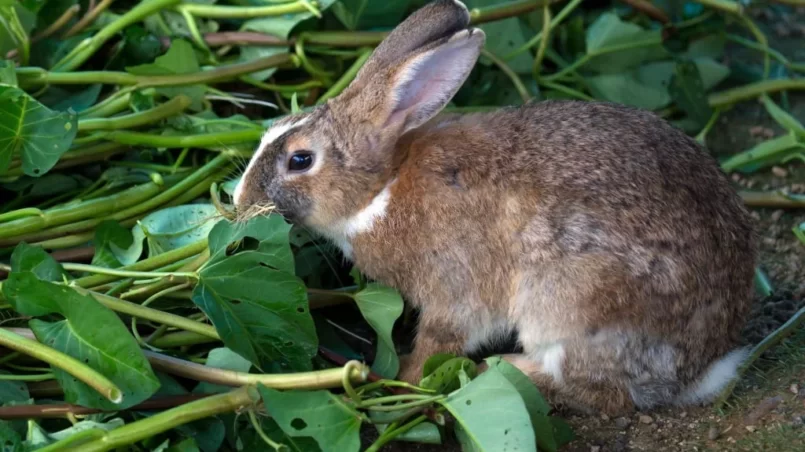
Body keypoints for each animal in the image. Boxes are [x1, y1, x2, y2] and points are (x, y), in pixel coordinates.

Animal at [231, 0, 752, 416]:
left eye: (301, 160)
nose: (238, 201)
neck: (381, 188)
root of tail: (706, 366)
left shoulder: (453, 289)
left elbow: (441, 339)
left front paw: (406, 376)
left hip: (569, 307)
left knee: (601, 392)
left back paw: (501, 367)